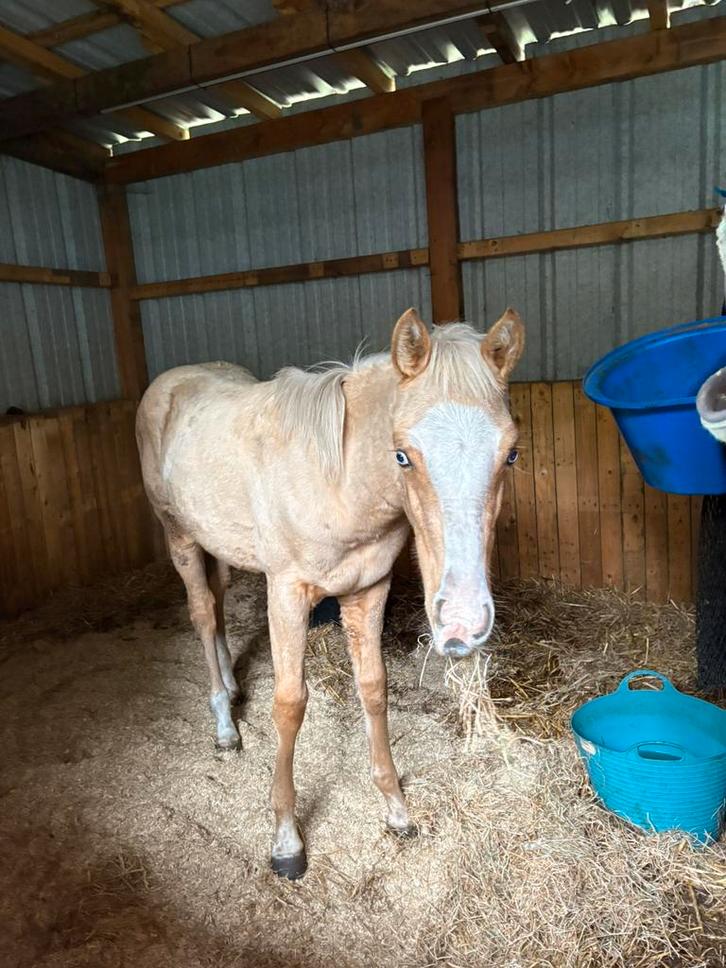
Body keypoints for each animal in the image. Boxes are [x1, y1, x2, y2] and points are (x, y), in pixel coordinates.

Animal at [136, 306, 525, 879]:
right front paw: (286, 840)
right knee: (204, 614)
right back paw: (225, 725)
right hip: (179, 538)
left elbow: (373, 689)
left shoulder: (369, 590)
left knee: (221, 604)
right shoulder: (286, 592)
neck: (339, 483)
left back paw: (231, 686)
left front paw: (396, 810)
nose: (460, 623)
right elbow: (290, 703)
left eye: (511, 454)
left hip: (223, 545)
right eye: (403, 455)